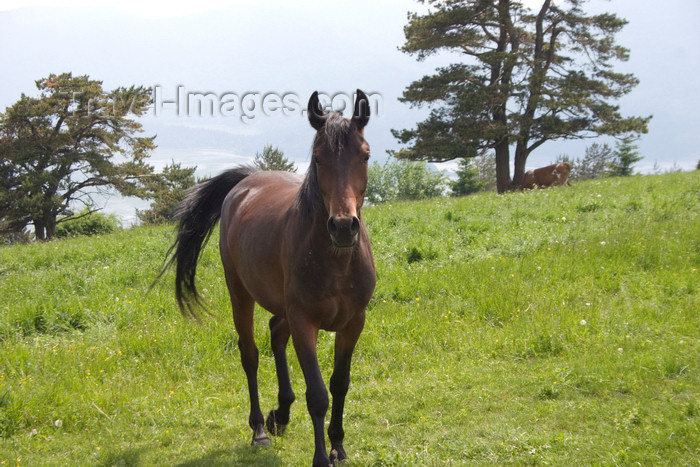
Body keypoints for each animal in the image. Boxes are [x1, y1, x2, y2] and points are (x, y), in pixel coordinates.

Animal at [163, 89, 374, 466]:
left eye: (364, 156)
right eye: (318, 159)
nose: (343, 226)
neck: (336, 260)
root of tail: (248, 180)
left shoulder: (354, 322)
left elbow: (340, 383)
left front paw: (338, 445)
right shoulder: (305, 321)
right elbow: (318, 394)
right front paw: (321, 457)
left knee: (276, 333)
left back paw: (281, 414)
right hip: (240, 294)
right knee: (250, 354)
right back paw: (260, 428)